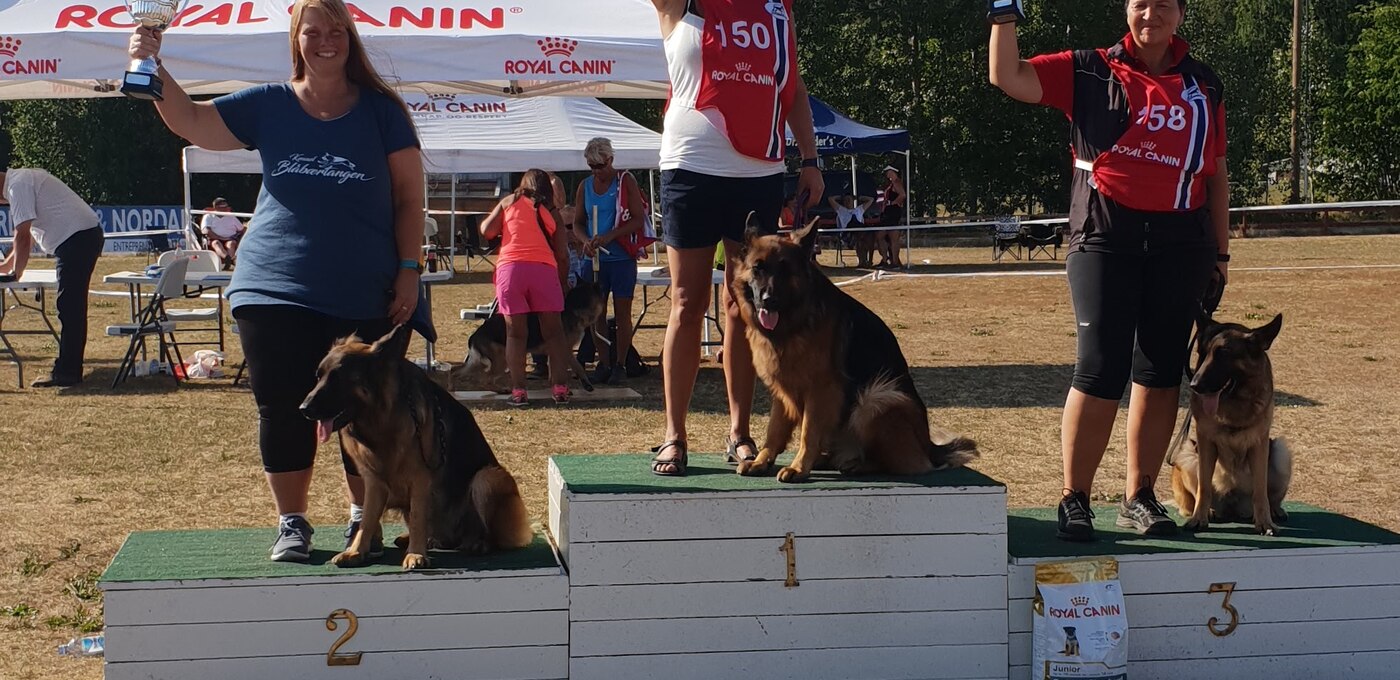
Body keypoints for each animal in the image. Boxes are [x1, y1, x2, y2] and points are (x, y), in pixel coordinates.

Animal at [300, 326, 533, 570]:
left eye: (337, 378)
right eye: (318, 376)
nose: (303, 409)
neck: (383, 416)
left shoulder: (420, 478)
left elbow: (417, 519)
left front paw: (415, 554)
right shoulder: (374, 481)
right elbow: (367, 520)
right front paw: (356, 551)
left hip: (487, 478)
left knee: (489, 535)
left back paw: (477, 543)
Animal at [454, 282, 606, 393]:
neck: (573, 307)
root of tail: (475, 334)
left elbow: (554, 373)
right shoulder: (565, 350)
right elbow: (578, 367)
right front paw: (586, 385)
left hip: (478, 362)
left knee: (459, 372)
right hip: (501, 360)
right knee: (485, 379)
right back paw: (501, 390)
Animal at [731, 217, 979, 483]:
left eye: (785, 270)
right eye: (758, 268)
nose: (768, 300)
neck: (795, 322)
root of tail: (930, 448)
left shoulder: (821, 391)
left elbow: (809, 432)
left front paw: (799, 467)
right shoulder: (782, 390)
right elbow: (774, 430)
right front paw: (761, 461)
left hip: (876, 399)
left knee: (899, 464)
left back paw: (856, 465)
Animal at [1170, 312, 1292, 536]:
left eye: (1223, 354)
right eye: (1202, 354)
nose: (1194, 385)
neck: (1235, 403)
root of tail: (1232, 507)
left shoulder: (1259, 445)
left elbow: (1260, 491)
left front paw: (1265, 522)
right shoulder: (1205, 444)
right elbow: (1204, 487)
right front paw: (1198, 519)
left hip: (1281, 452)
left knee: (1270, 497)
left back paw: (1275, 511)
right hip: (1188, 453)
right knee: (1192, 499)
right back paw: (1206, 511)